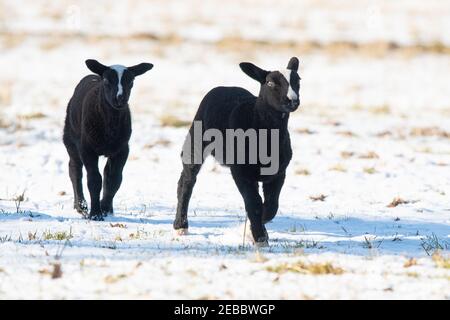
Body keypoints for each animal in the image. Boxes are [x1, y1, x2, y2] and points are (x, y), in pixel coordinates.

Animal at [62, 58, 153, 221]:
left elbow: (114, 179)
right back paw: (81, 206)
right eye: (106, 80)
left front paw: (104, 209)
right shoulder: (87, 149)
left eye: (131, 81)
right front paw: (95, 214)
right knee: (75, 170)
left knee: (106, 173)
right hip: (71, 139)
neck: (110, 124)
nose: (120, 98)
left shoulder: (122, 149)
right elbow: (94, 180)